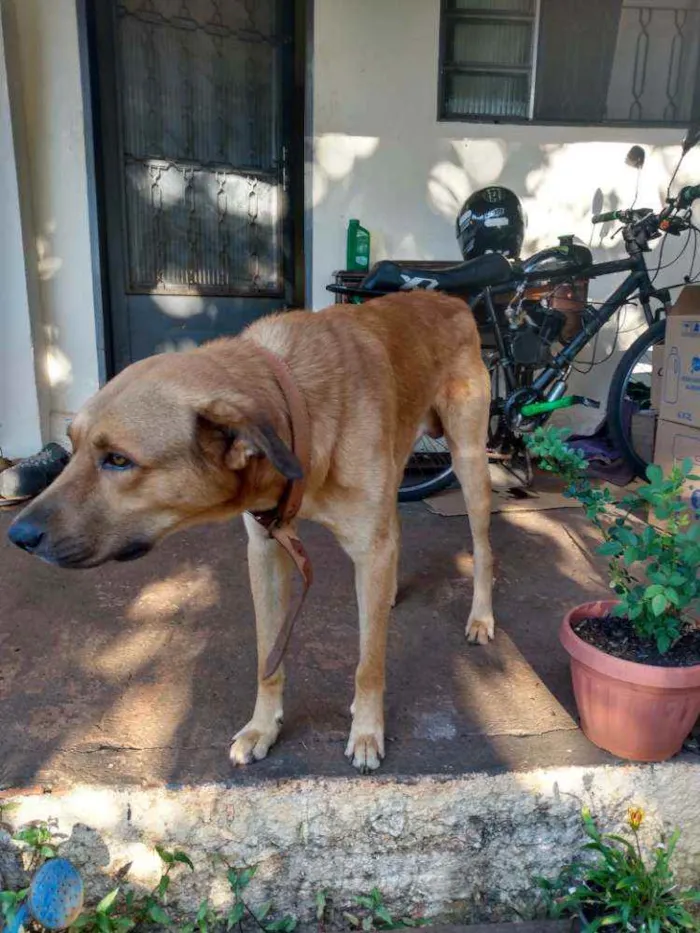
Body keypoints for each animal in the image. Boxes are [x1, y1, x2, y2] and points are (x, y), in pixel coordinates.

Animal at [8, 292, 494, 772]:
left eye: (118, 460)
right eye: (71, 446)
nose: (19, 535)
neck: (300, 409)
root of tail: (448, 298)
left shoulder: (365, 550)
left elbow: (369, 662)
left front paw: (367, 731)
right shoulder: (266, 549)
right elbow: (267, 655)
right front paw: (263, 727)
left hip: (468, 463)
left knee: (482, 548)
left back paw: (481, 618)